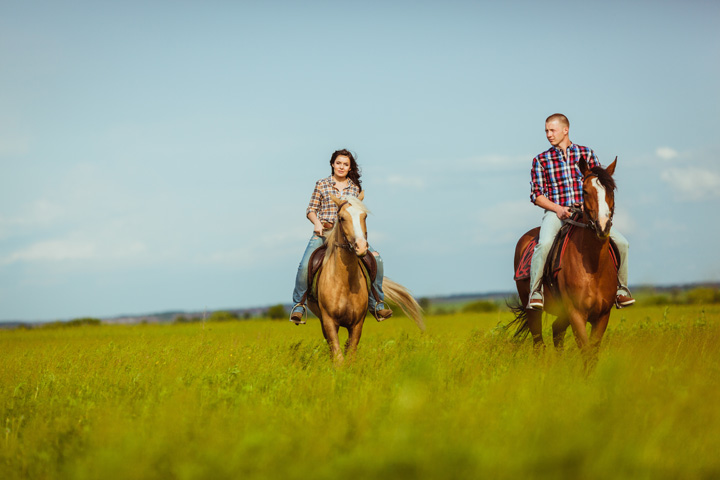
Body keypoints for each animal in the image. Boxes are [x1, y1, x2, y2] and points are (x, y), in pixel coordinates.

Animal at [306, 193, 424, 362]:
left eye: (365, 216)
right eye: (341, 218)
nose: (361, 247)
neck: (344, 282)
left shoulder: (357, 324)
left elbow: (350, 355)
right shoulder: (329, 321)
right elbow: (338, 357)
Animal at [510, 158, 620, 364]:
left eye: (611, 190)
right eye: (585, 191)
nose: (602, 226)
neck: (593, 268)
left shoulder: (602, 315)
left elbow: (592, 354)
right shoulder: (576, 313)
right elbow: (586, 352)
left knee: (556, 332)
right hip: (533, 311)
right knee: (539, 343)